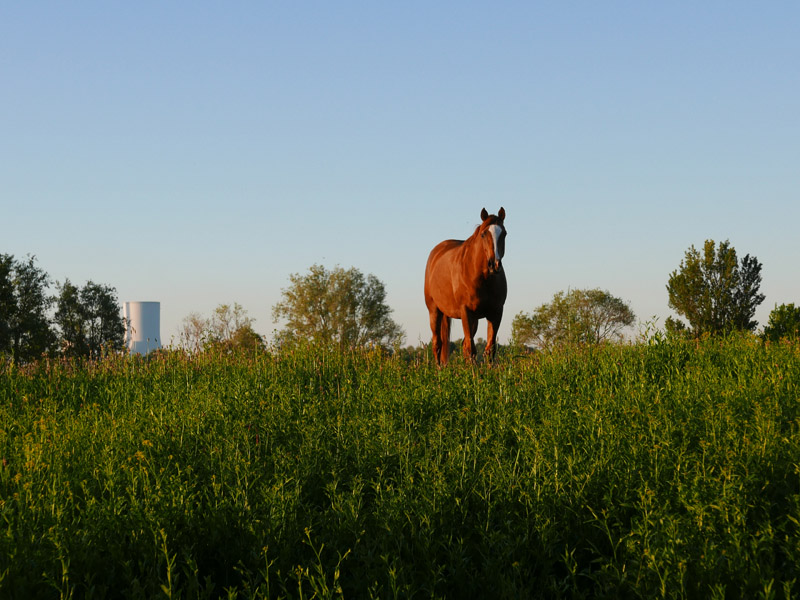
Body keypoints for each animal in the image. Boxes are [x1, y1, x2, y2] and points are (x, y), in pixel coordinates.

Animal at [424, 206, 506, 366]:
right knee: (437, 344)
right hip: (434, 311)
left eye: (504, 233)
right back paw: (438, 370)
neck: (484, 279)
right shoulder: (466, 312)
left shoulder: (496, 313)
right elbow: (471, 349)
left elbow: (489, 349)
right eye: (483, 234)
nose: (494, 264)